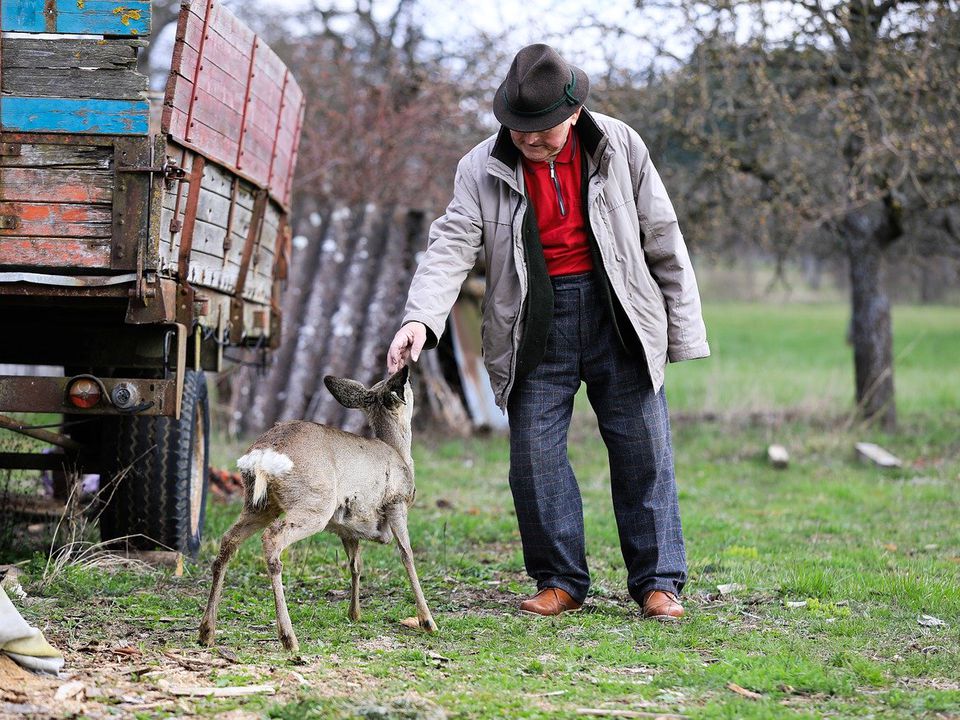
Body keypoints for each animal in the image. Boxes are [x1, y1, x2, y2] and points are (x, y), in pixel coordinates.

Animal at [200, 366, 438, 652]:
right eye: (408, 384)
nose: (410, 375)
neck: (399, 453)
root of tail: (263, 455)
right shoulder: (396, 502)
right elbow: (407, 555)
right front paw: (428, 621)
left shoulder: (348, 526)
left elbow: (355, 564)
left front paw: (354, 614)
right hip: (315, 503)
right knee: (272, 538)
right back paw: (289, 638)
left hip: (259, 504)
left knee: (228, 541)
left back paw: (206, 632)